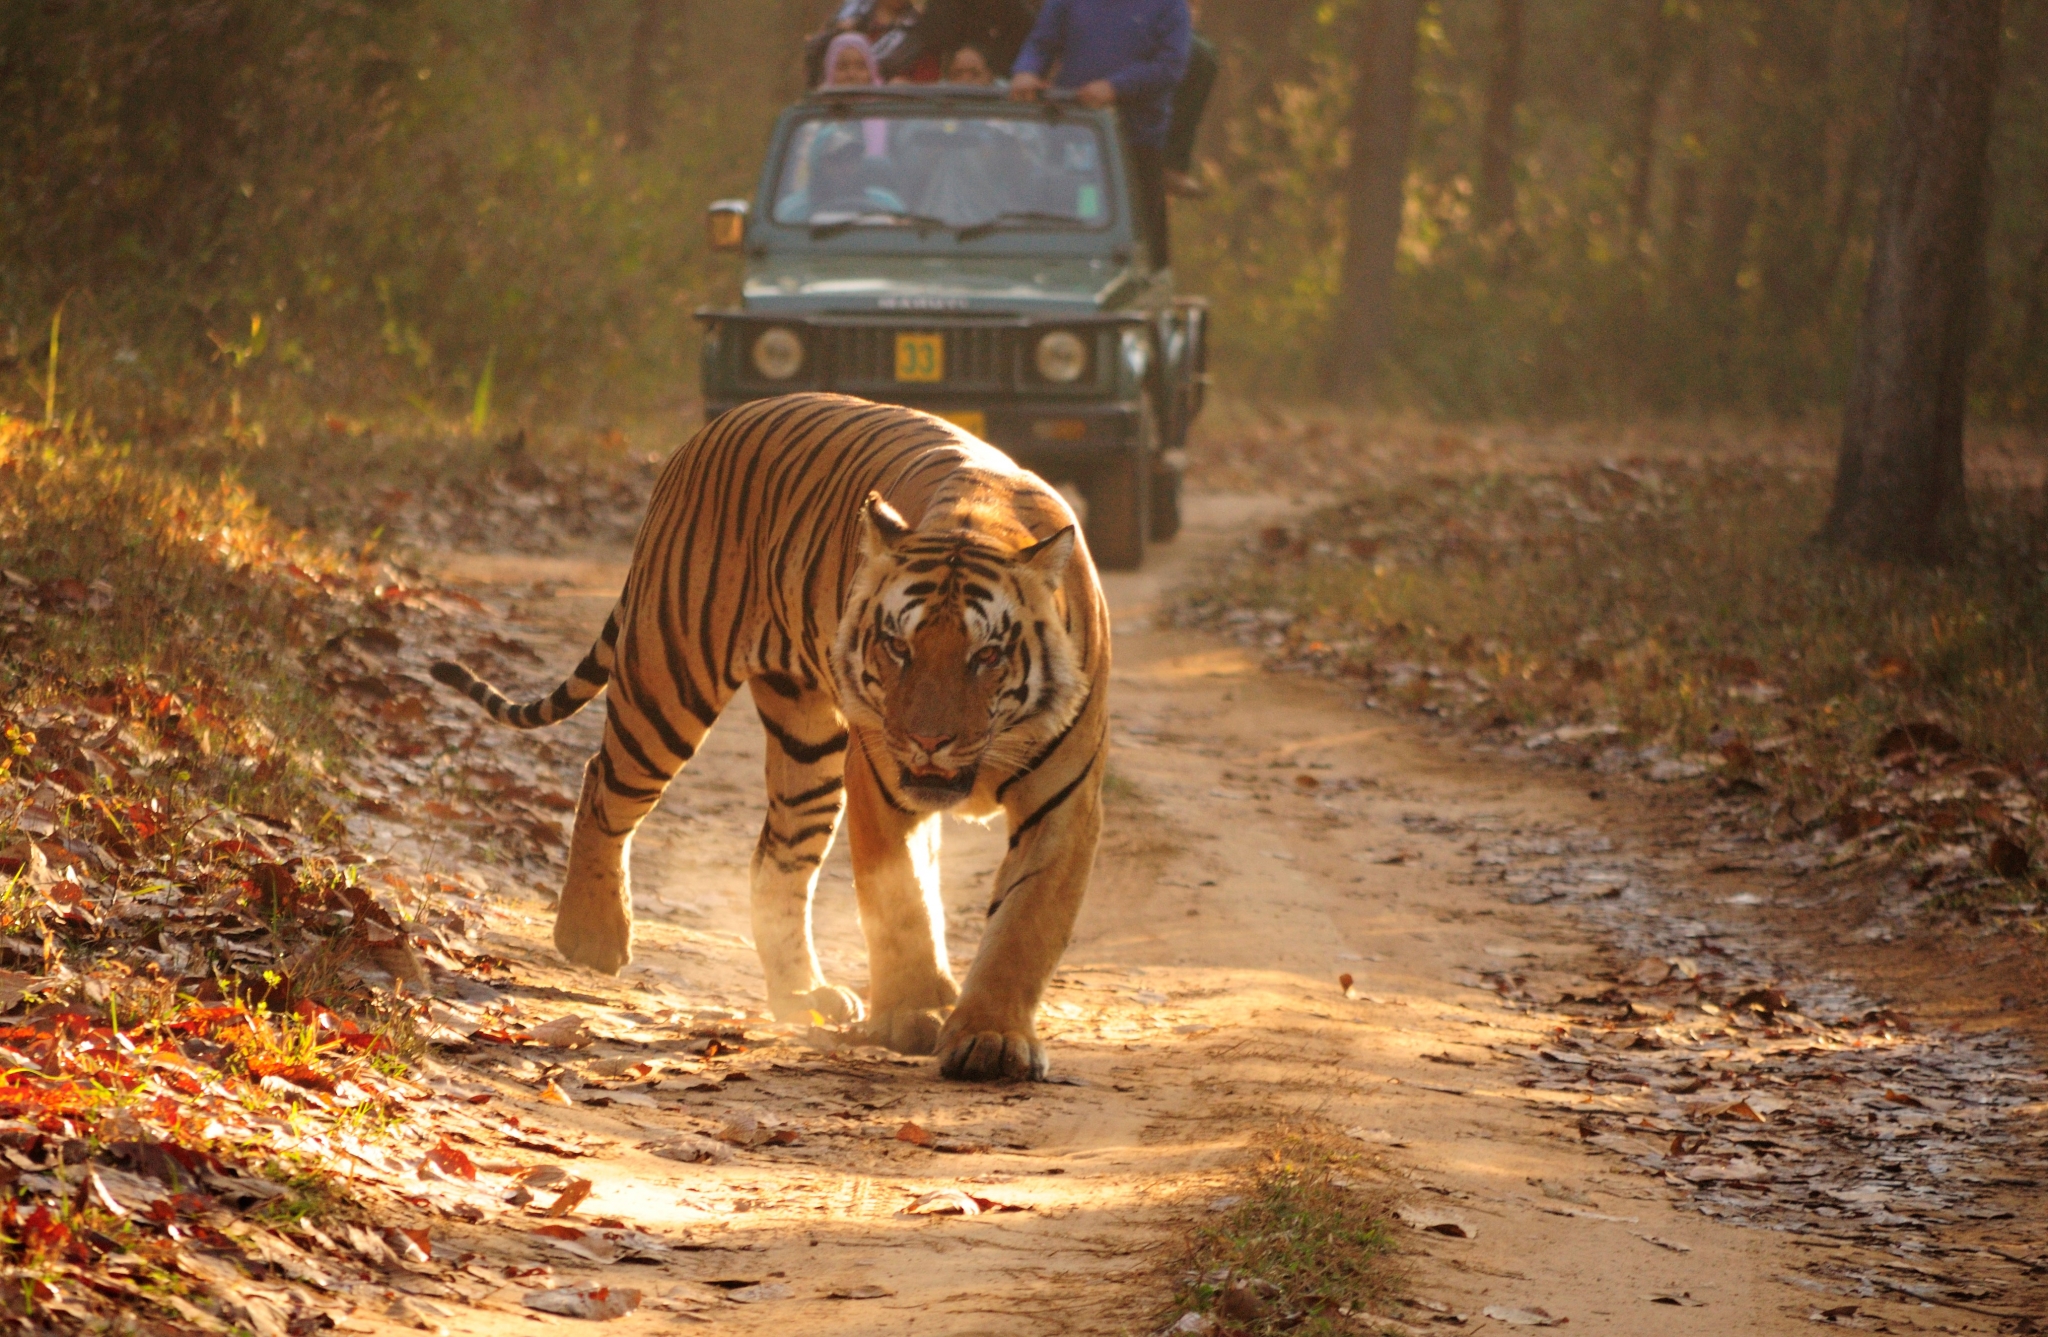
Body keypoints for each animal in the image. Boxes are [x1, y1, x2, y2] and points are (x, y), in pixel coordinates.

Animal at [429, 393, 1108, 1081]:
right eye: (898, 647)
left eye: (987, 656)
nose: (928, 740)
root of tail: (710, 429)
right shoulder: (882, 782)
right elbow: (902, 904)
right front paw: (913, 1014)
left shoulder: (1064, 801)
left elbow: (1025, 923)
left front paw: (991, 1037)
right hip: (669, 676)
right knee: (603, 782)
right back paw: (592, 936)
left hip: (806, 745)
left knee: (775, 859)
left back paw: (802, 994)